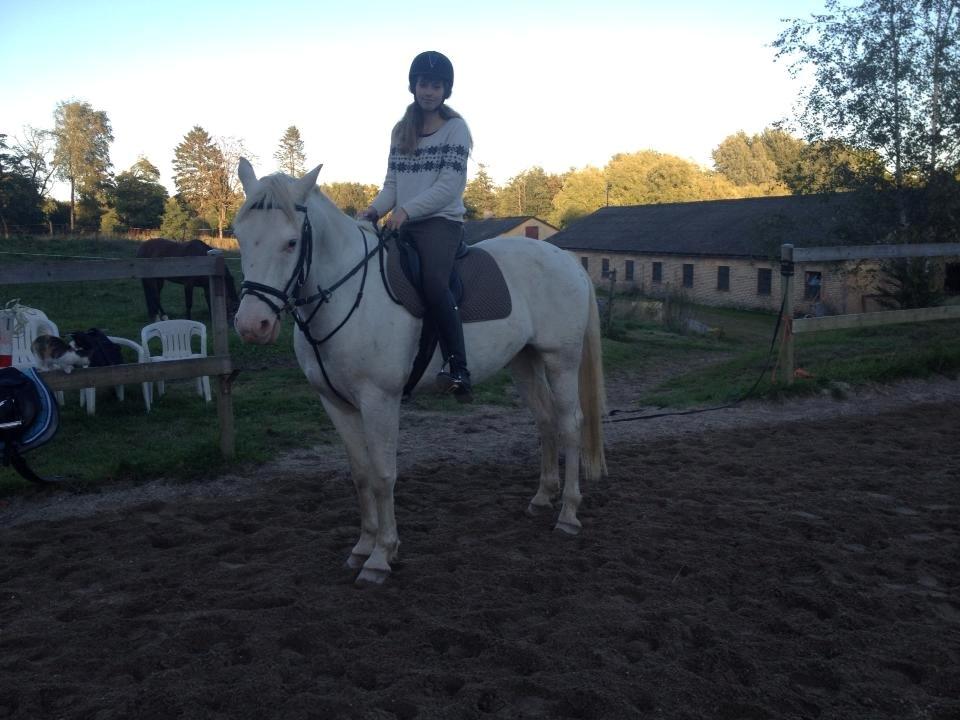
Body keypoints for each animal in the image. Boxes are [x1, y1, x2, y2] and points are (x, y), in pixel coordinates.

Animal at [232, 158, 606, 586]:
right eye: (240, 237)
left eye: (292, 242)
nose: (252, 325)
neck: (347, 296)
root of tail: (566, 259)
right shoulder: (334, 402)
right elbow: (360, 474)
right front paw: (362, 546)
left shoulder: (380, 400)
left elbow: (383, 474)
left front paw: (381, 556)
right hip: (524, 361)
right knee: (545, 422)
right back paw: (543, 498)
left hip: (561, 360)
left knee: (569, 425)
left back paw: (568, 514)